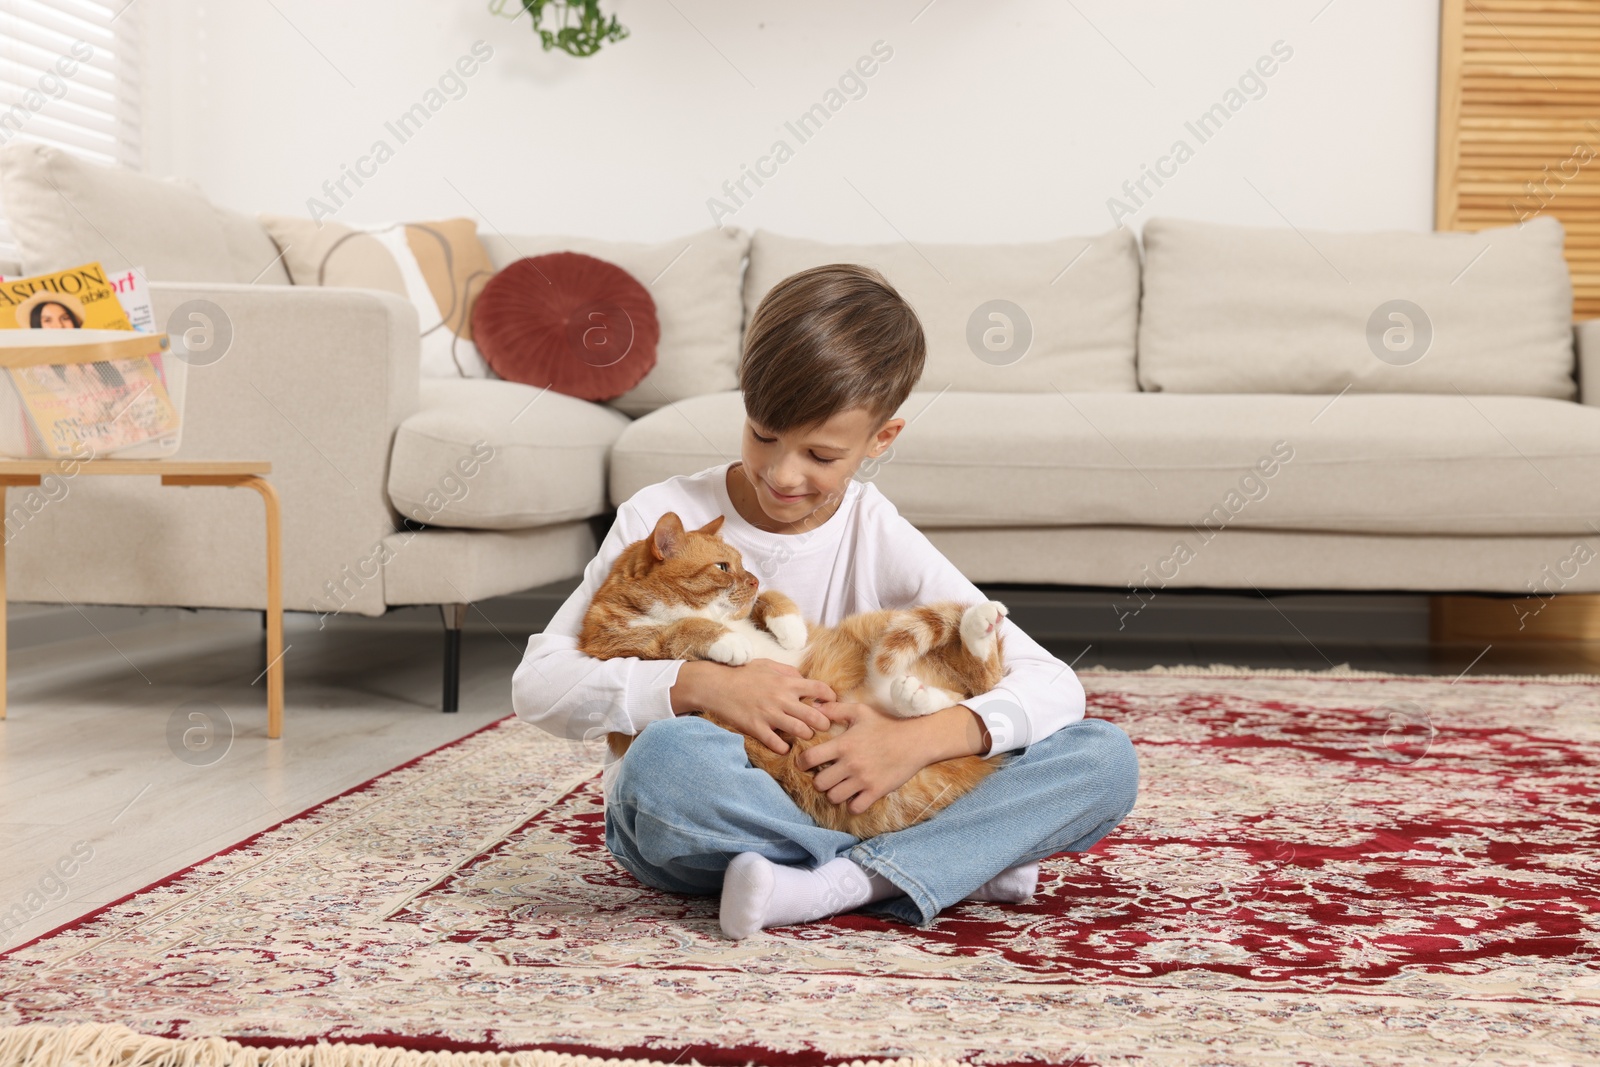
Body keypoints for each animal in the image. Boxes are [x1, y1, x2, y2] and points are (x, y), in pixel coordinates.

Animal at [579, 511, 1011, 838]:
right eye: (722, 567)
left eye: (743, 565)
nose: (753, 578)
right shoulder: (614, 649)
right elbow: (677, 630)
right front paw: (727, 641)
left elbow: (770, 602)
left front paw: (788, 627)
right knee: (955, 696)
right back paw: (918, 689)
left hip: (878, 626)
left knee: (976, 687)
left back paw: (978, 626)